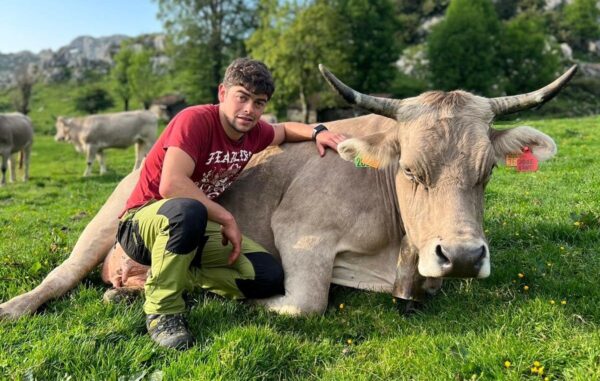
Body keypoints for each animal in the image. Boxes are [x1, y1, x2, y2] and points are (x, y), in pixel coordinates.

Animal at [0, 64, 580, 318]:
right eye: (412, 171)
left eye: (486, 172)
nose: (460, 256)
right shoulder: (301, 233)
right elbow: (304, 304)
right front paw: (235, 297)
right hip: (108, 222)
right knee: (60, 276)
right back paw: (18, 306)